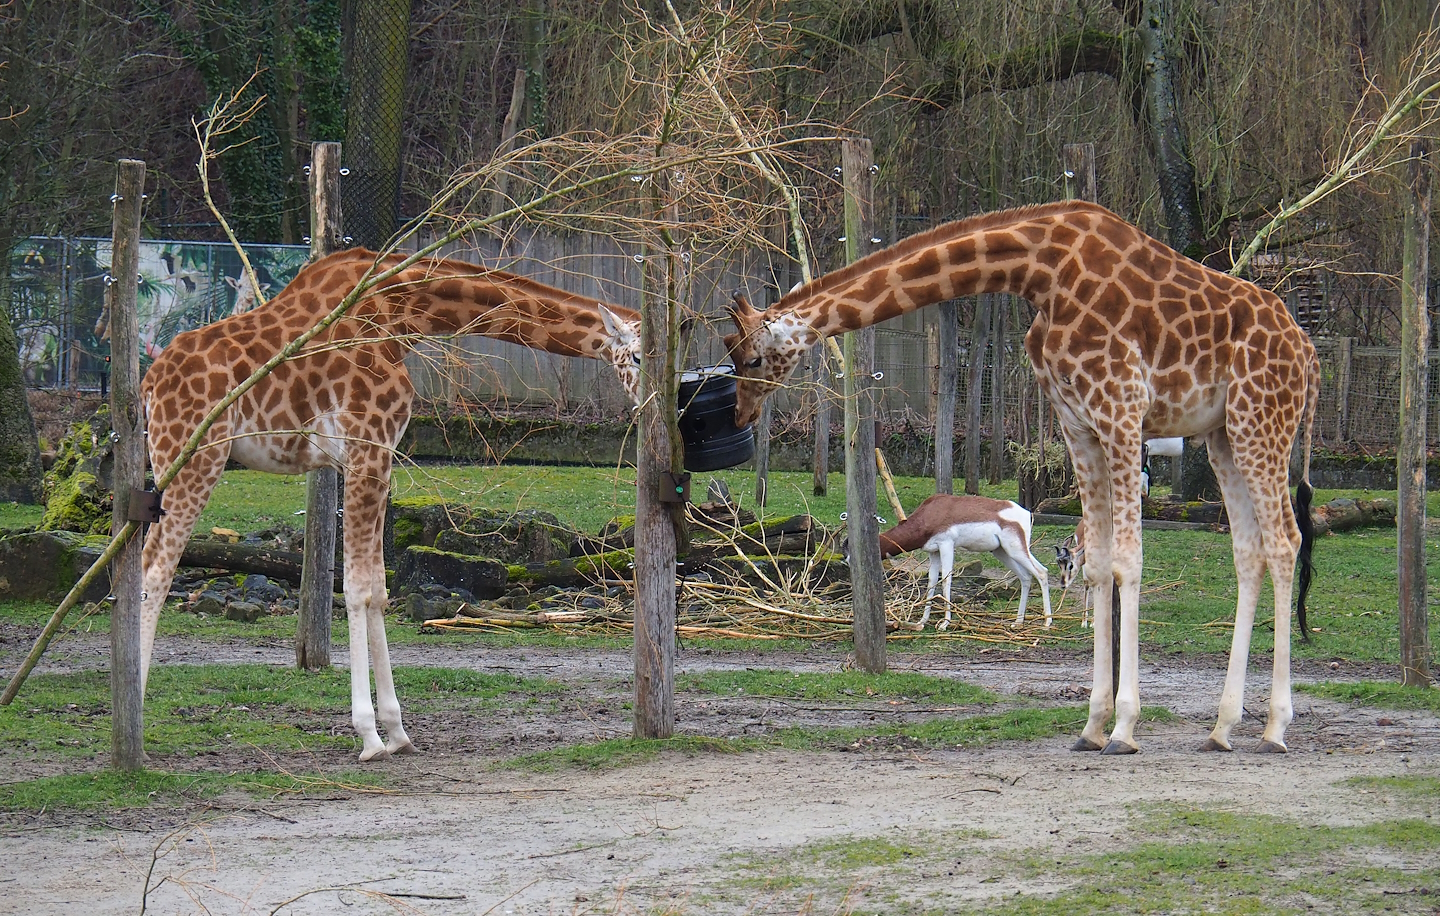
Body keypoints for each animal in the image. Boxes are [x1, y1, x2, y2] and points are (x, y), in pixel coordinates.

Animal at [140, 248, 641, 761]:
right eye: (639, 355)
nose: (650, 406)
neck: (401, 311)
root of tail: (150, 382)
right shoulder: (367, 449)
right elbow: (357, 588)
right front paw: (369, 736)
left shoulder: (380, 456)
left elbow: (380, 588)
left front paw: (397, 730)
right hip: (194, 456)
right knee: (156, 570)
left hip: (168, 463)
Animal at [724, 200, 1318, 755]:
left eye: (752, 359)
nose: (740, 416)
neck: (1039, 272)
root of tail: (1308, 353)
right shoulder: (1078, 422)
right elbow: (1096, 563)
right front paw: (1092, 725)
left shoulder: (1122, 410)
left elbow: (1127, 560)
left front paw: (1125, 728)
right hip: (1223, 434)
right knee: (1250, 550)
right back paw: (1223, 728)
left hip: (1261, 421)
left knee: (1285, 541)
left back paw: (1275, 728)